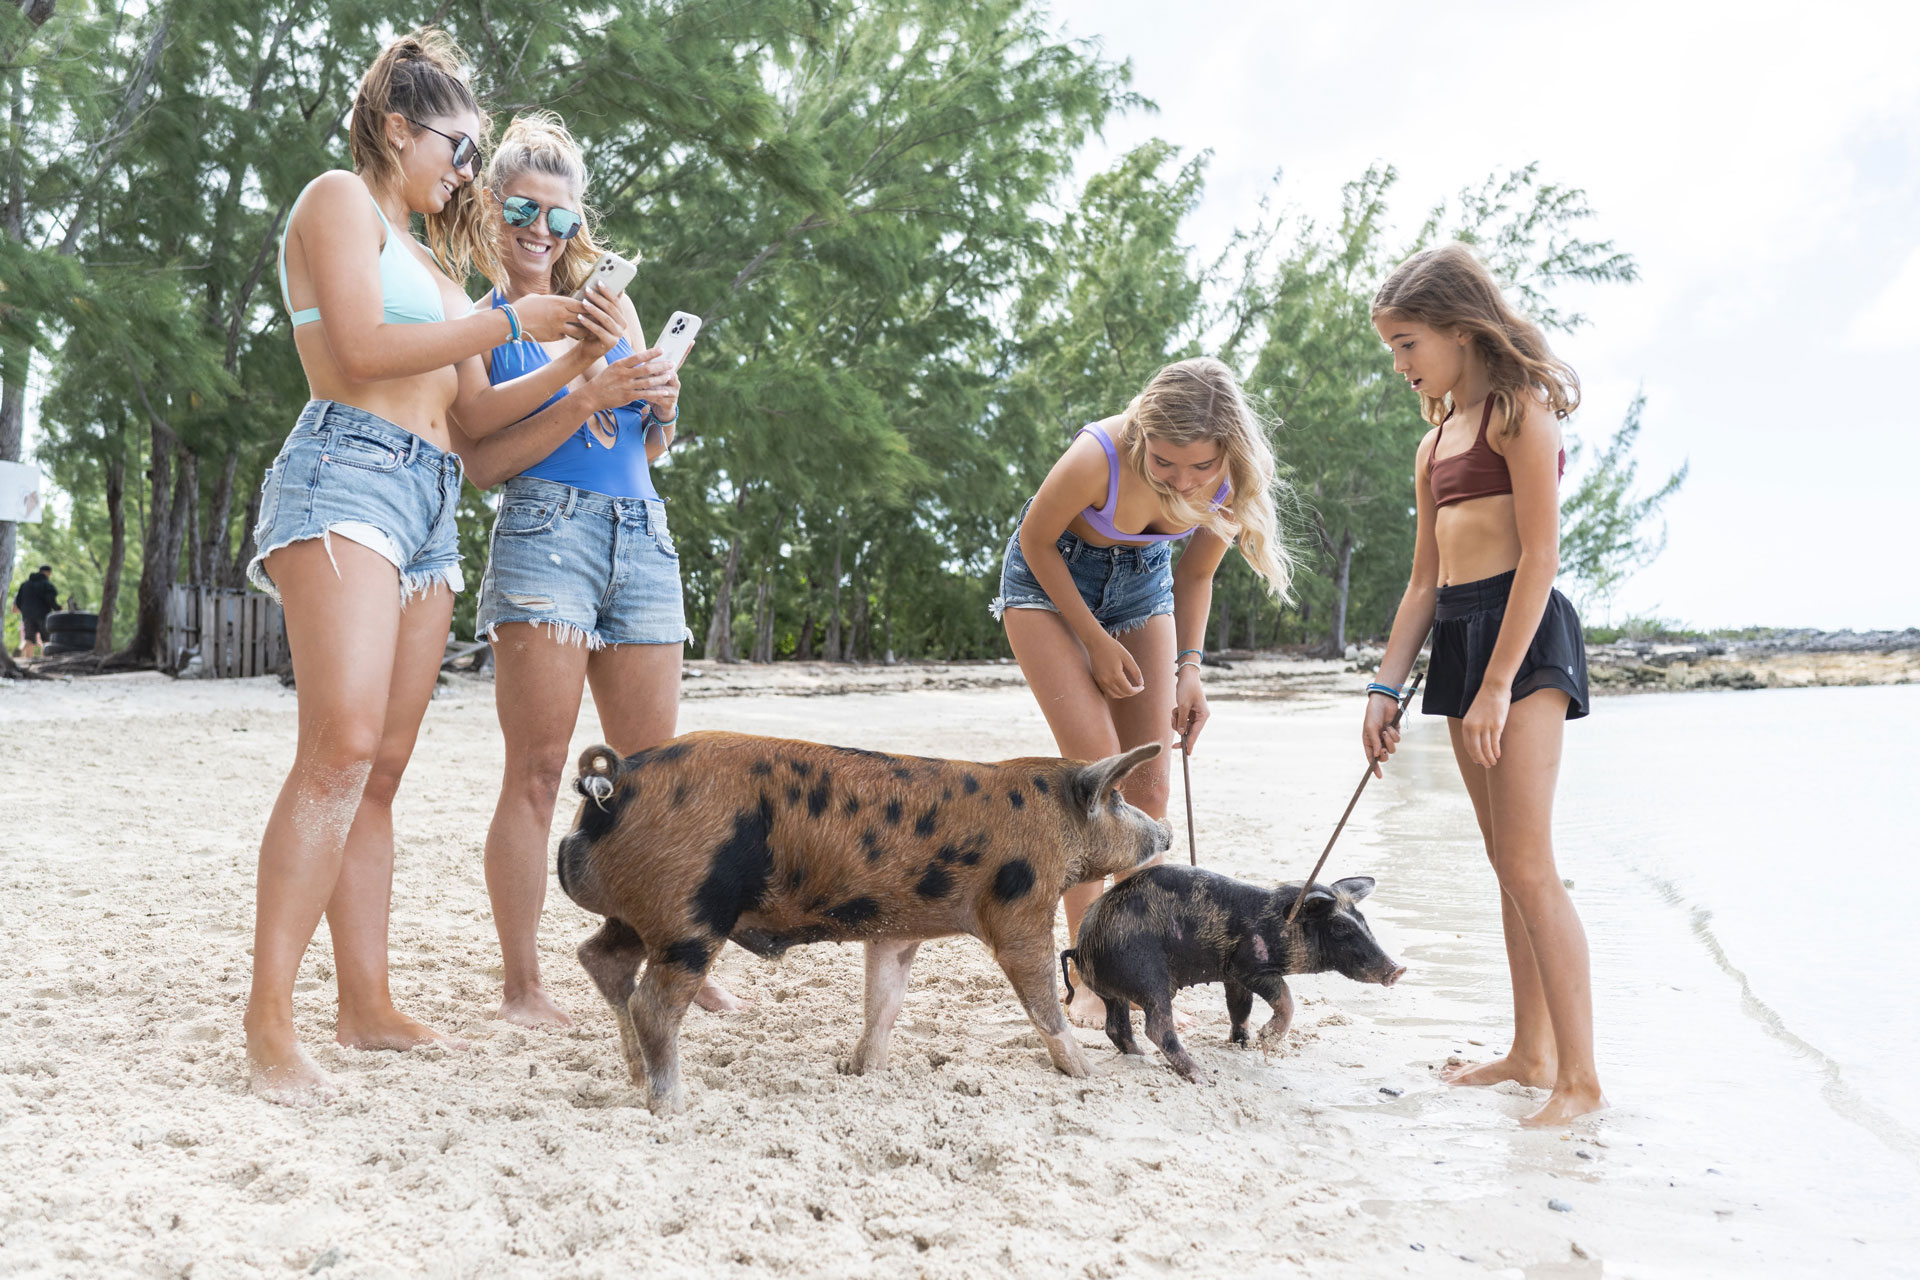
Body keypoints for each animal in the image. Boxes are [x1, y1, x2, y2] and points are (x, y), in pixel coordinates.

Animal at [556, 731, 1171, 1115]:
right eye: (1118, 798)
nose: (1165, 830)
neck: (1053, 824)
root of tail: (616, 782)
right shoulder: (1020, 907)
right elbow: (1041, 999)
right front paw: (1090, 1075)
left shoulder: (896, 929)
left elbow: (885, 1001)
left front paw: (862, 1072)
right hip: (689, 913)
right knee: (651, 1005)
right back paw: (674, 1105)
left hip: (642, 914)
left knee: (600, 959)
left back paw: (635, 1079)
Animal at [1061, 865, 1405, 1083]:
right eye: (1341, 928)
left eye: (1364, 921)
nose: (1398, 969)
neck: (1280, 925)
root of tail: (1081, 946)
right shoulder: (1250, 966)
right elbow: (1286, 998)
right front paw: (1266, 1043)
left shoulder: (1233, 976)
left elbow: (1240, 1008)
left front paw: (1243, 1043)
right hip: (1149, 978)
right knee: (1157, 1027)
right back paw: (1200, 1076)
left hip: (1113, 992)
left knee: (1116, 1027)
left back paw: (1140, 1057)